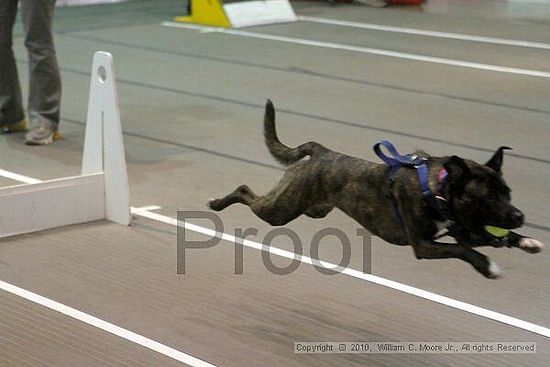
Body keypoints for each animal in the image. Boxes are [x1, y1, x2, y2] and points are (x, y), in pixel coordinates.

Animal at [209, 99, 544, 278]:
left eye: (508, 192)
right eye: (486, 197)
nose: (519, 216)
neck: (438, 188)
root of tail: (321, 151)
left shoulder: (465, 230)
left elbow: (482, 240)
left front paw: (526, 241)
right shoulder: (425, 246)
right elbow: (464, 250)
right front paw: (488, 266)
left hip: (312, 208)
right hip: (279, 210)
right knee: (245, 191)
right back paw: (216, 203)